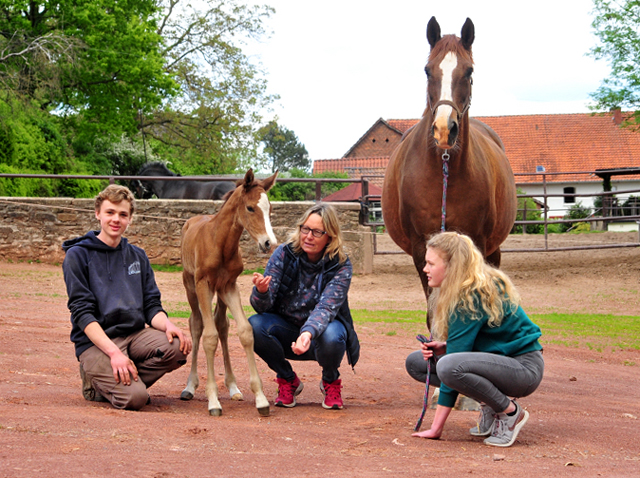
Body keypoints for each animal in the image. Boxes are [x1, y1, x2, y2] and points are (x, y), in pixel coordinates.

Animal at [382, 15, 516, 322]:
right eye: (427, 70)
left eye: (469, 70)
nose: (445, 130)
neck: (444, 174)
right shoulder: (421, 248)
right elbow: (434, 313)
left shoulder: (477, 243)